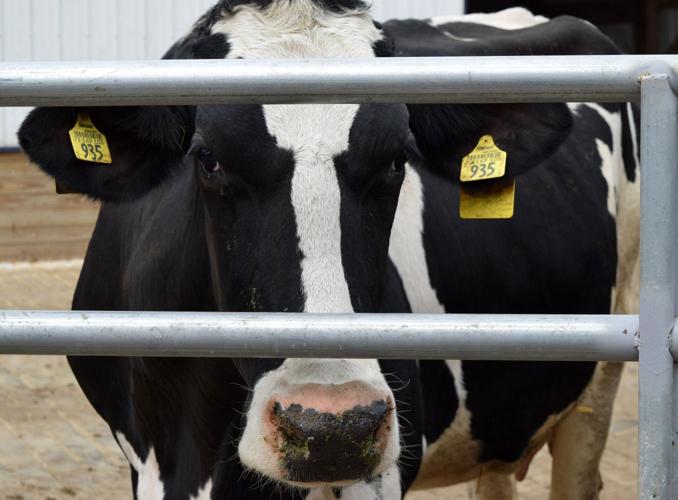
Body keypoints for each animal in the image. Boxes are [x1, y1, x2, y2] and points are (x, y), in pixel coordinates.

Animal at [17, 2, 639, 499]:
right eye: (208, 158)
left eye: (398, 158)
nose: (331, 426)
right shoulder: (144, 460)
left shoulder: (379, 468)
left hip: (601, 380)